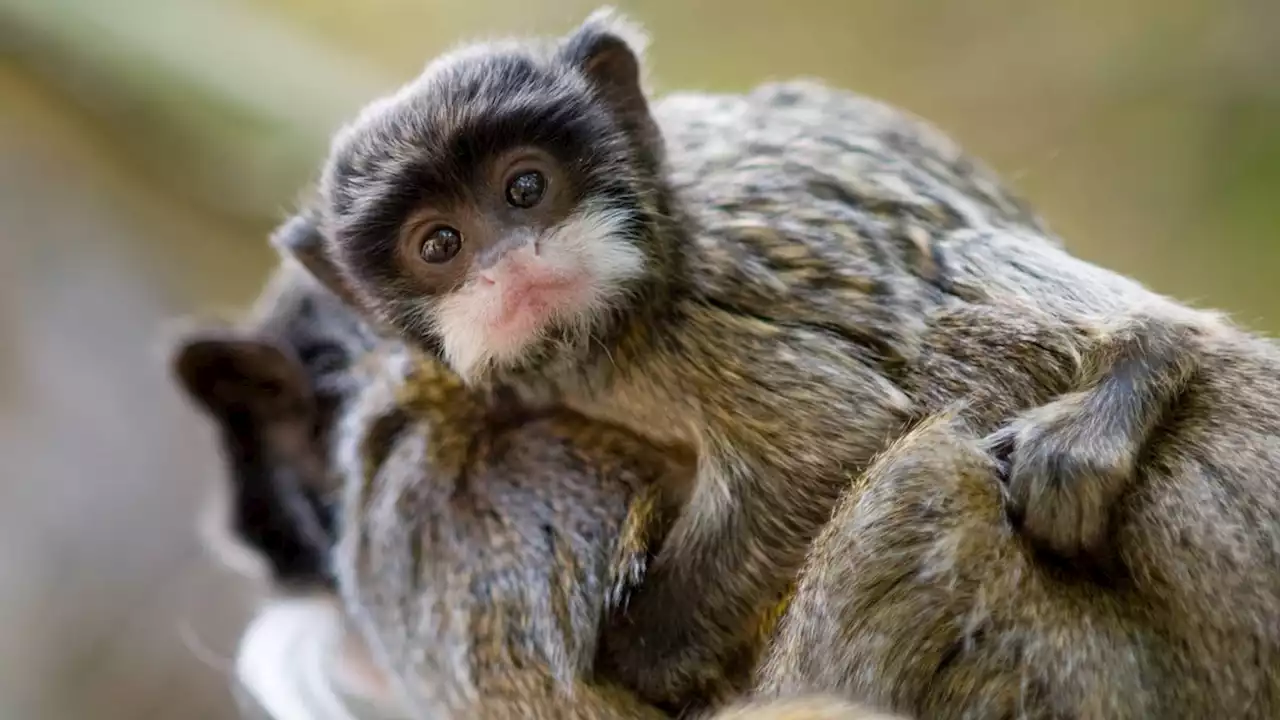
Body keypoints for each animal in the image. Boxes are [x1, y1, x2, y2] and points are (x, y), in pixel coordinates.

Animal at [280, 5, 1259, 702]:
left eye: (526, 187)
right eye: (440, 244)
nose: (510, 261)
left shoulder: (685, 330)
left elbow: (830, 441)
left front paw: (646, 659)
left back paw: (1139, 360)